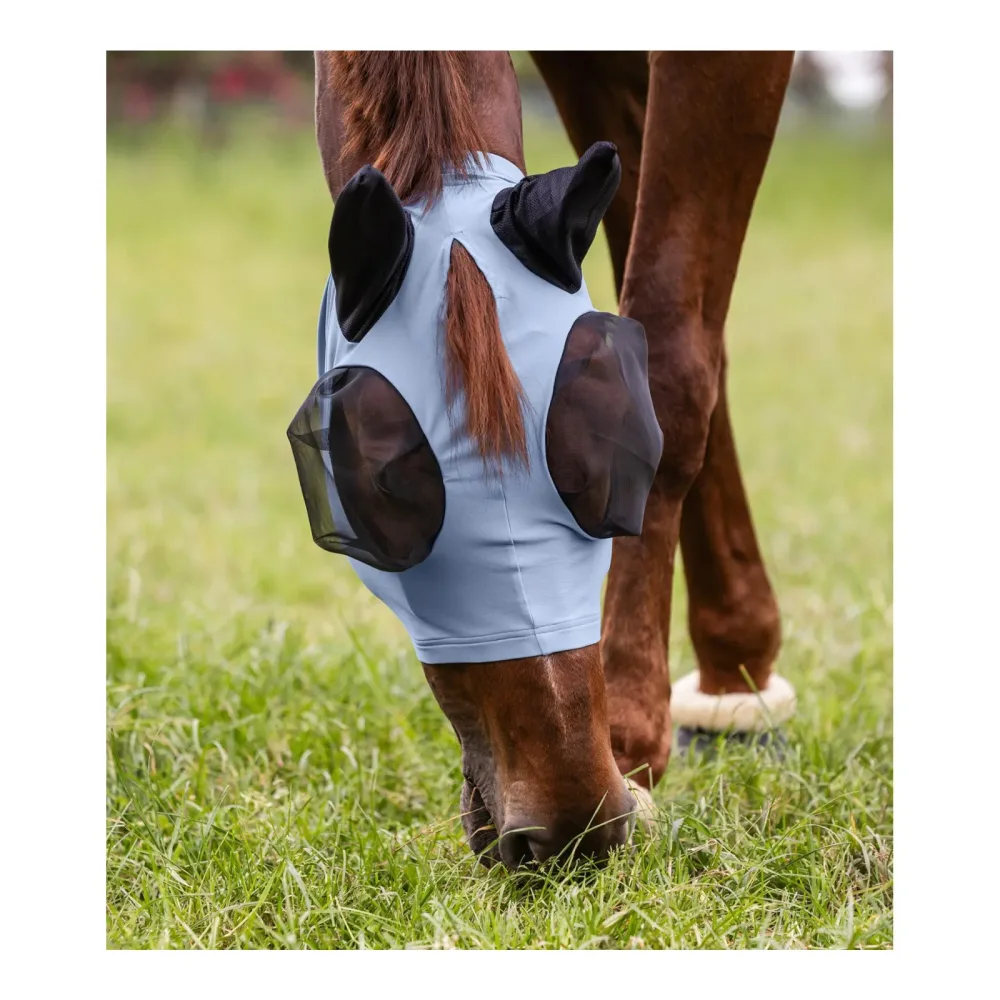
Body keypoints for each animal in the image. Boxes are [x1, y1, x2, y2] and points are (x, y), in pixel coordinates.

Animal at [307, 51, 796, 868]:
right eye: (383, 489)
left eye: (614, 446)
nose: (572, 825)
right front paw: (729, 666)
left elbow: (674, 351)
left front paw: (633, 729)